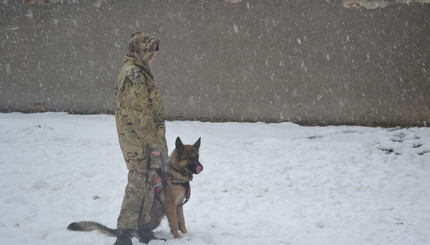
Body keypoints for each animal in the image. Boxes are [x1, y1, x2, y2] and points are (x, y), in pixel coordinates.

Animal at [68, 138, 204, 241]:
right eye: (189, 158)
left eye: (197, 157)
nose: (201, 167)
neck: (176, 173)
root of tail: (119, 230)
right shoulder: (171, 206)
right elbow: (175, 223)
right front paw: (178, 238)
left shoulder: (179, 205)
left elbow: (182, 220)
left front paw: (186, 234)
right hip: (151, 217)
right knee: (138, 231)